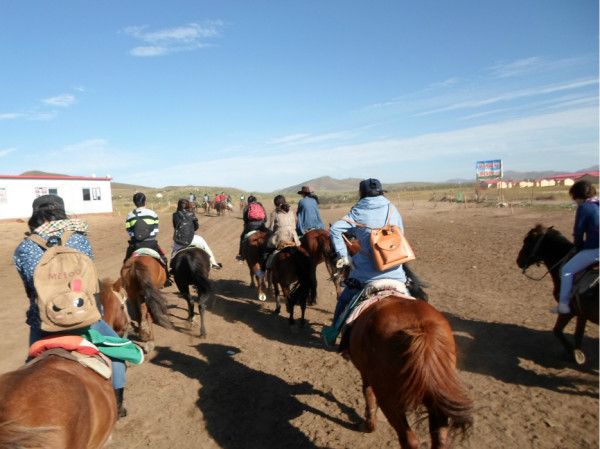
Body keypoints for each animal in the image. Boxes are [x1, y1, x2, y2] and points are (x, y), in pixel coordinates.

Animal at [350, 296, 472, 446]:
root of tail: (422, 330)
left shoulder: (366, 374)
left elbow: (368, 395)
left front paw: (369, 425)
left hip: (388, 398)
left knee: (409, 439)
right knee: (440, 437)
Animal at [516, 224, 600, 364]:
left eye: (527, 241)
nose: (518, 261)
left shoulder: (570, 311)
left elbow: (557, 331)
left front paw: (573, 353)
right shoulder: (582, 313)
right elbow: (578, 334)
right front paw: (577, 354)